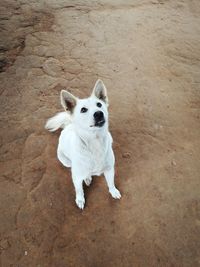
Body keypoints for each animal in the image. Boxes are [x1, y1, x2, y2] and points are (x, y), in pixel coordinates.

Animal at [45, 80, 120, 210]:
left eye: (99, 104)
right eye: (83, 110)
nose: (99, 114)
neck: (95, 142)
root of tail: (68, 125)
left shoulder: (110, 169)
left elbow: (111, 183)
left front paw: (113, 191)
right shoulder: (76, 177)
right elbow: (79, 190)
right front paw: (80, 200)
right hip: (66, 162)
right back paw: (88, 177)